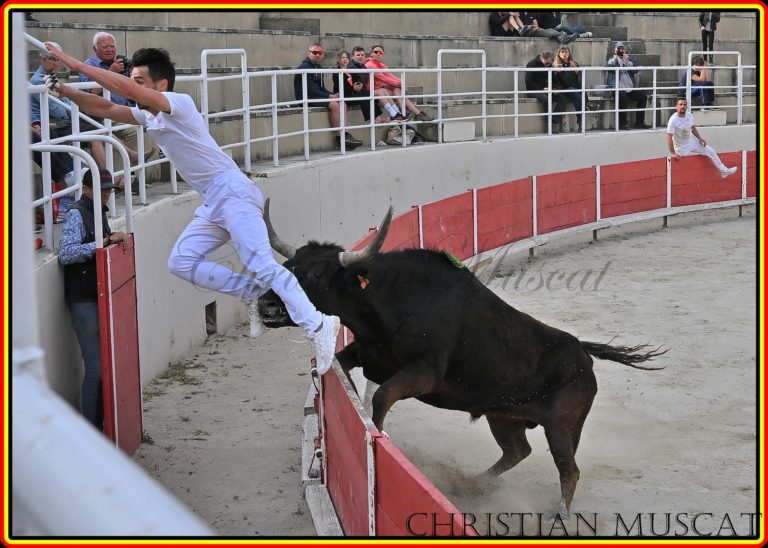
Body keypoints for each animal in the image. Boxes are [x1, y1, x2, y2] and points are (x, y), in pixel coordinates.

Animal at [255, 202, 664, 520]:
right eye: (290, 265)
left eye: (317, 274)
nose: (268, 306)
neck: (390, 302)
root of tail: (583, 353)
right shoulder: (367, 353)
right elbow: (344, 365)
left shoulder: (423, 375)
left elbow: (381, 397)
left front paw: (379, 435)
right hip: (504, 416)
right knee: (518, 451)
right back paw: (472, 484)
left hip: (562, 427)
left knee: (569, 470)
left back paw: (559, 515)